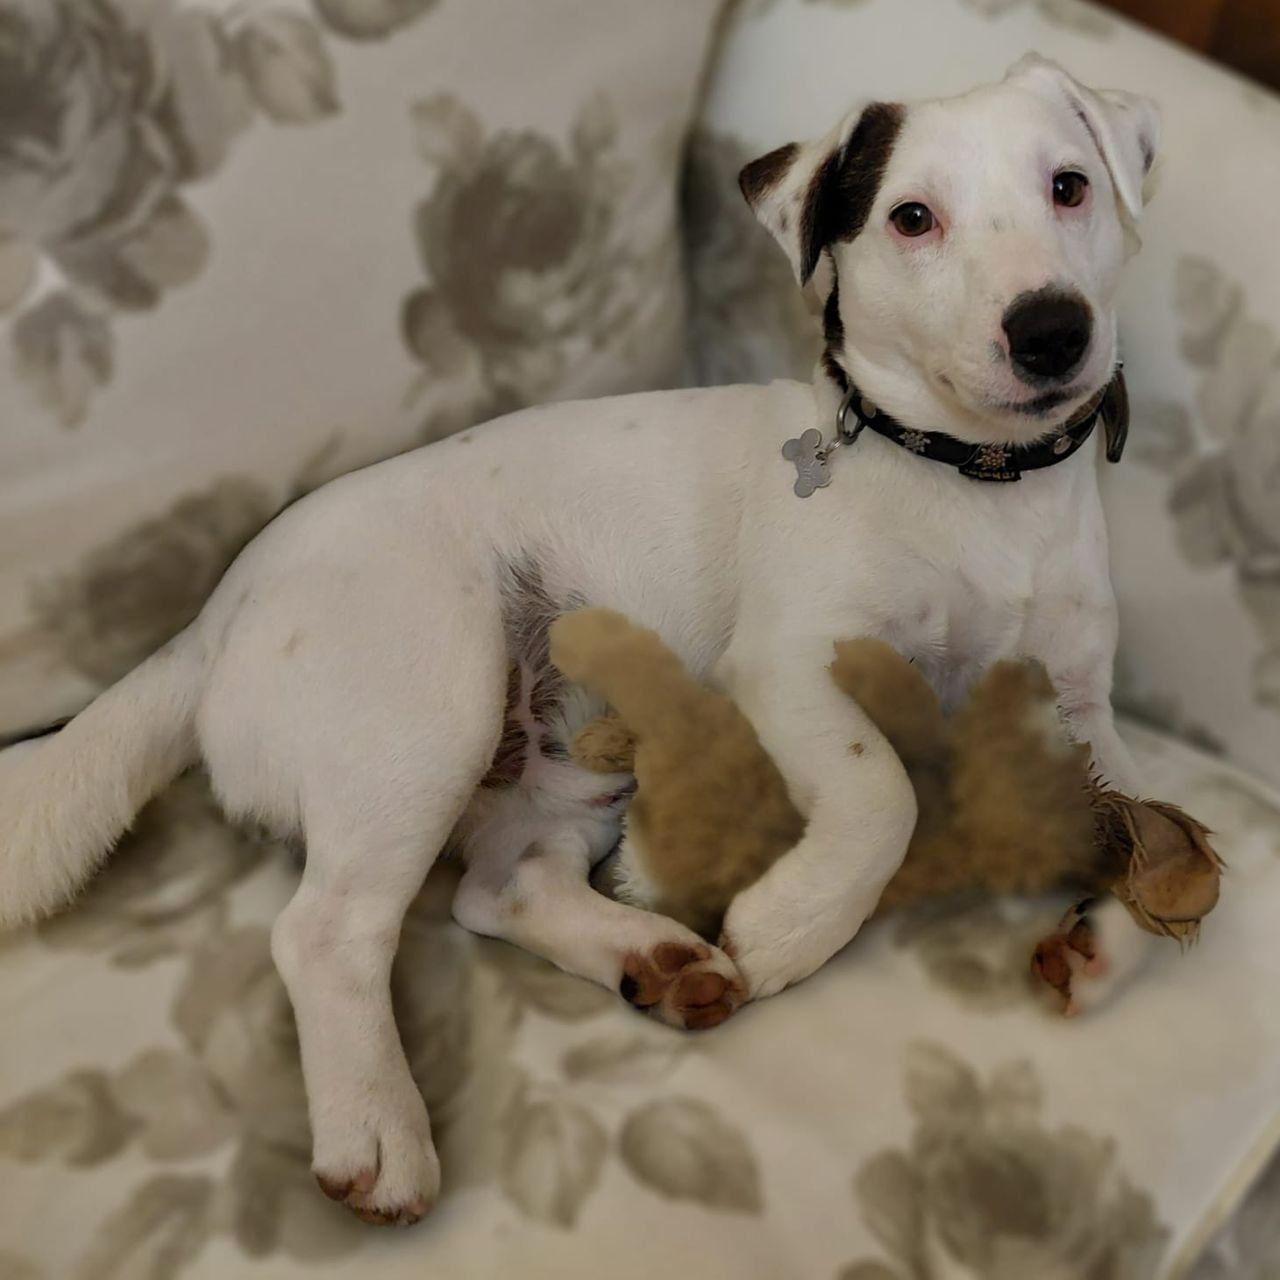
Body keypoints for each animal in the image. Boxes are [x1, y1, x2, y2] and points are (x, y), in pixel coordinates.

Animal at [0, 55, 1162, 1223]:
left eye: (1069, 186)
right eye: (911, 218)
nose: (1050, 329)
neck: (979, 484)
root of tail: (213, 616)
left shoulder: (1078, 709)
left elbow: (1152, 822)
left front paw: (1112, 937)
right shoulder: (790, 666)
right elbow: (882, 793)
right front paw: (792, 924)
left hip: (572, 761)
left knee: (498, 885)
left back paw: (648, 953)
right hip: (431, 708)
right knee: (327, 929)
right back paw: (375, 1124)